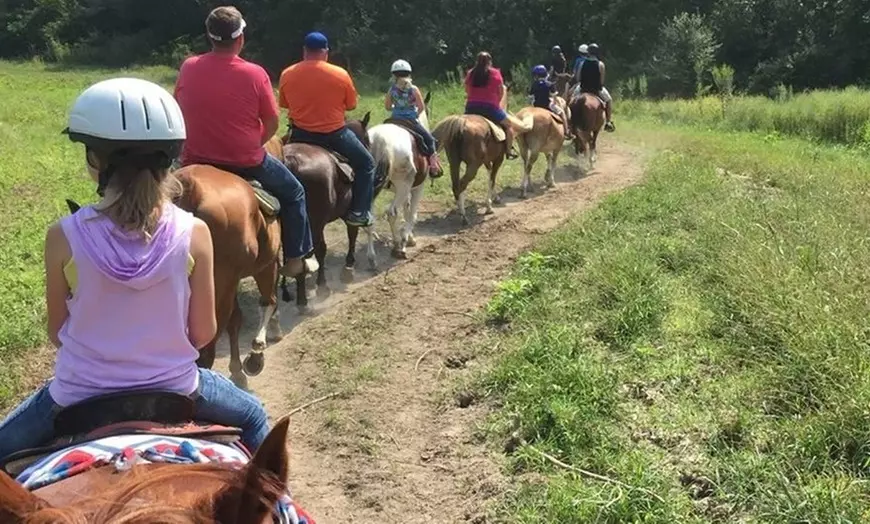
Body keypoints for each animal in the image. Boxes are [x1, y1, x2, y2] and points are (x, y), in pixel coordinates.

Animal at [174, 136, 286, 388]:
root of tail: (191, 190)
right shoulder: (266, 266)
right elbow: (268, 301)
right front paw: (255, 356)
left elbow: (236, 320)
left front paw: (237, 370)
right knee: (205, 352)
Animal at [282, 111, 380, 308]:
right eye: (367, 139)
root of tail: (292, 162)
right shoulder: (351, 211)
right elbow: (352, 233)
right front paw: (348, 268)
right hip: (315, 223)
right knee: (315, 251)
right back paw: (316, 290)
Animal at [368, 92, 436, 260]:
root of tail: (380, 141)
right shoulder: (417, 188)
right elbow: (411, 213)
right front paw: (407, 238)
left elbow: (406, 209)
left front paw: (409, 237)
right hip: (403, 185)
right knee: (391, 213)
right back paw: (398, 246)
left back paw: (372, 257)